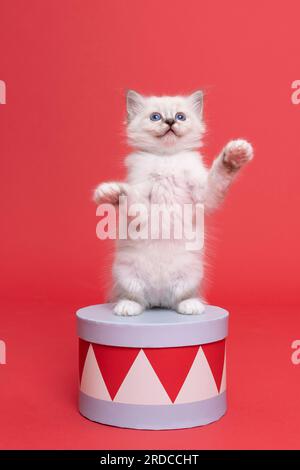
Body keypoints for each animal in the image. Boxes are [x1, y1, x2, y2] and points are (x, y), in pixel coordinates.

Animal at [94, 90, 253, 316]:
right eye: (155, 117)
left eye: (180, 117)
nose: (170, 121)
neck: (166, 159)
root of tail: (158, 299)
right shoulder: (142, 201)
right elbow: (130, 199)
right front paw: (111, 193)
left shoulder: (204, 194)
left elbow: (219, 175)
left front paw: (234, 155)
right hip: (125, 273)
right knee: (137, 299)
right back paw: (127, 308)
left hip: (192, 274)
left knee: (179, 299)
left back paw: (190, 307)